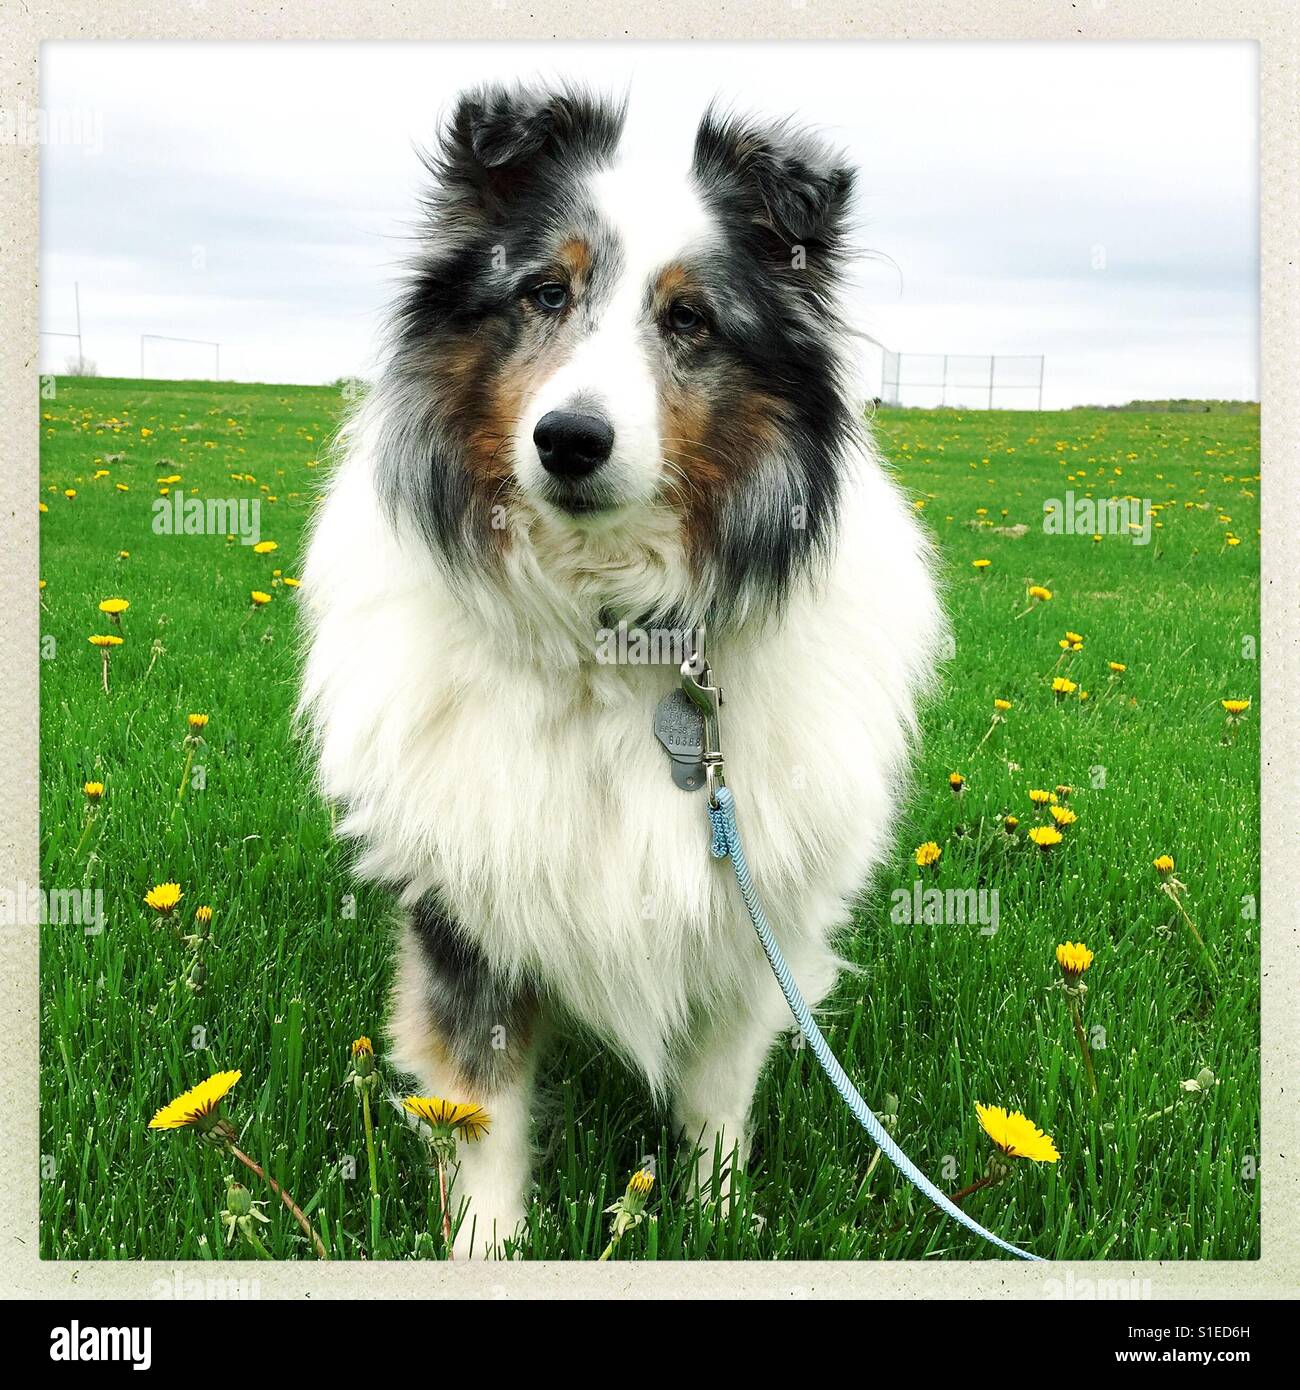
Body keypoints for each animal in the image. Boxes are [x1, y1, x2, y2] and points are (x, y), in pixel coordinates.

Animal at [298, 86, 939, 1262]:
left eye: (689, 320)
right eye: (545, 291)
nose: (569, 439)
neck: (608, 633)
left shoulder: (750, 917)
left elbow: (716, 1092)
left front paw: (716, 1218)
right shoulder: (467, 914)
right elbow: (483, 1109)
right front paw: (487, 1250)